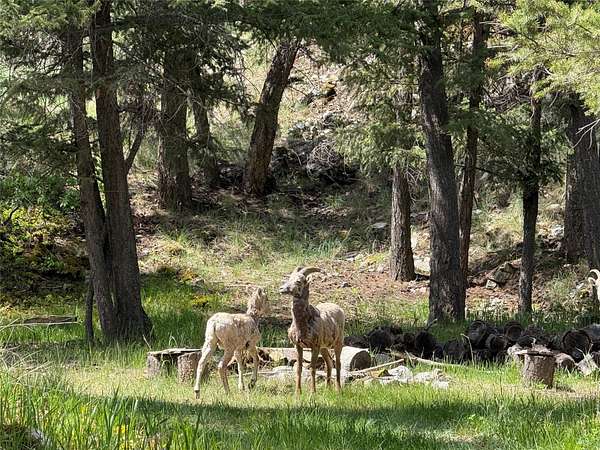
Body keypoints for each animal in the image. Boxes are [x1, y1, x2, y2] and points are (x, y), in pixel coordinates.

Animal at [279, 266, 345, 395]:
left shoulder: (315, 346)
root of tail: (340, 309)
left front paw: (312, 392)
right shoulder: (298, 346)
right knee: (329, 363)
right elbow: (299, 368)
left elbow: (312, 369)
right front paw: (298, 393)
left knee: (338, 364)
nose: (282, 289)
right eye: (289, 278)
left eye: (299, 281)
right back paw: (327, 388)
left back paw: (338, 390)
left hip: (338, 343)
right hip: (324, 348)